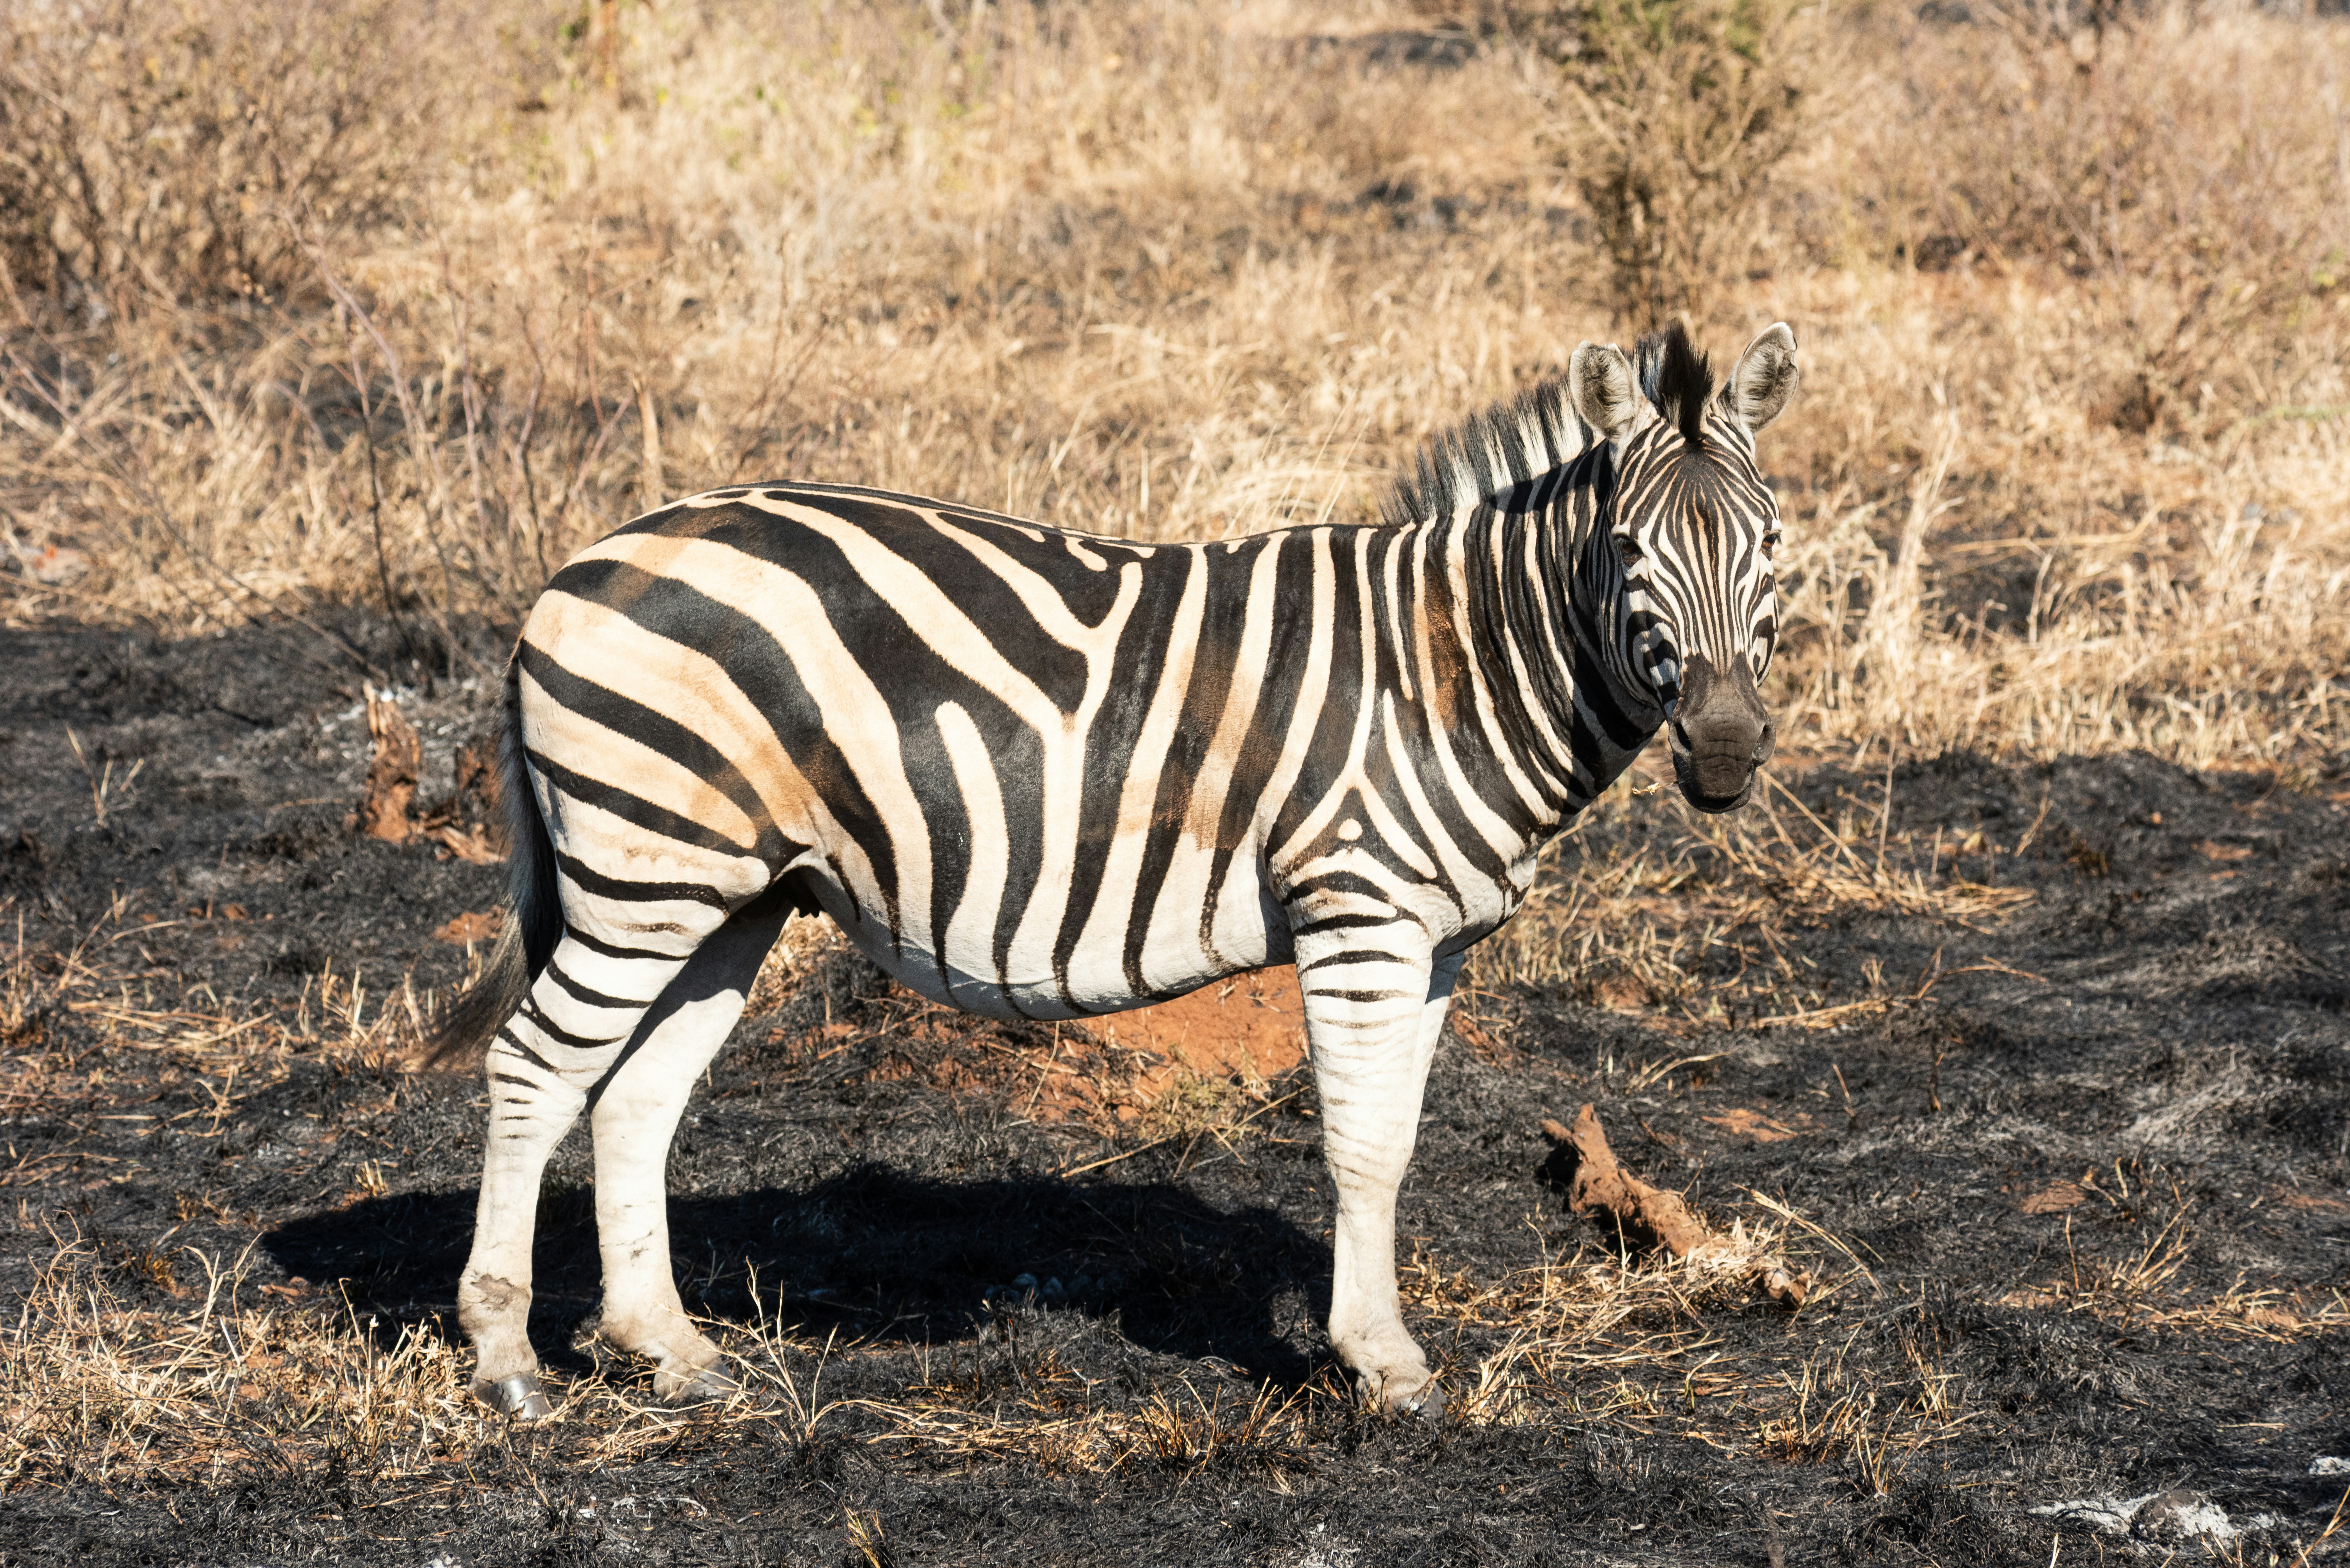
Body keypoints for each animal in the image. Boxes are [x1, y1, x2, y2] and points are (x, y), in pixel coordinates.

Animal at [427, 320, 1800, 1420]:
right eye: (1628, 546)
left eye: (1773, 544)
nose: (1727, 752)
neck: (1449, 663)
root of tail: (579, 565)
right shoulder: (1357, 908)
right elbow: (1359, 1145)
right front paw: (1383, 1365)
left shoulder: (1435, 938)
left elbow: (1398, 1140)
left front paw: (1381, 1346)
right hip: (643, 870)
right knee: (536, 1066)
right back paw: (507, 1359)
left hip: (727, 892)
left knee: (634, 1096)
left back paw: (670, 1352)